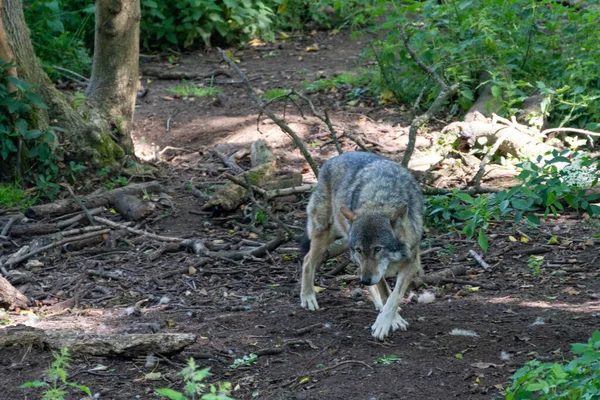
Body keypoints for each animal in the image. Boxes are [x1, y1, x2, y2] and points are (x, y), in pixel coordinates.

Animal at [298, 152, 422, 340]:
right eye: (359, 249)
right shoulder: (373, 270)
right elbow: (386, 291)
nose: (365, 281)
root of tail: (332, 159)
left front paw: (386, 319)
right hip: (324, 235)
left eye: (377, 249)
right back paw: (308, 296)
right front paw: (392, 321)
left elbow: (394, 296)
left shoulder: (412, 262)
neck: (380, 198)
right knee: (307, 261)